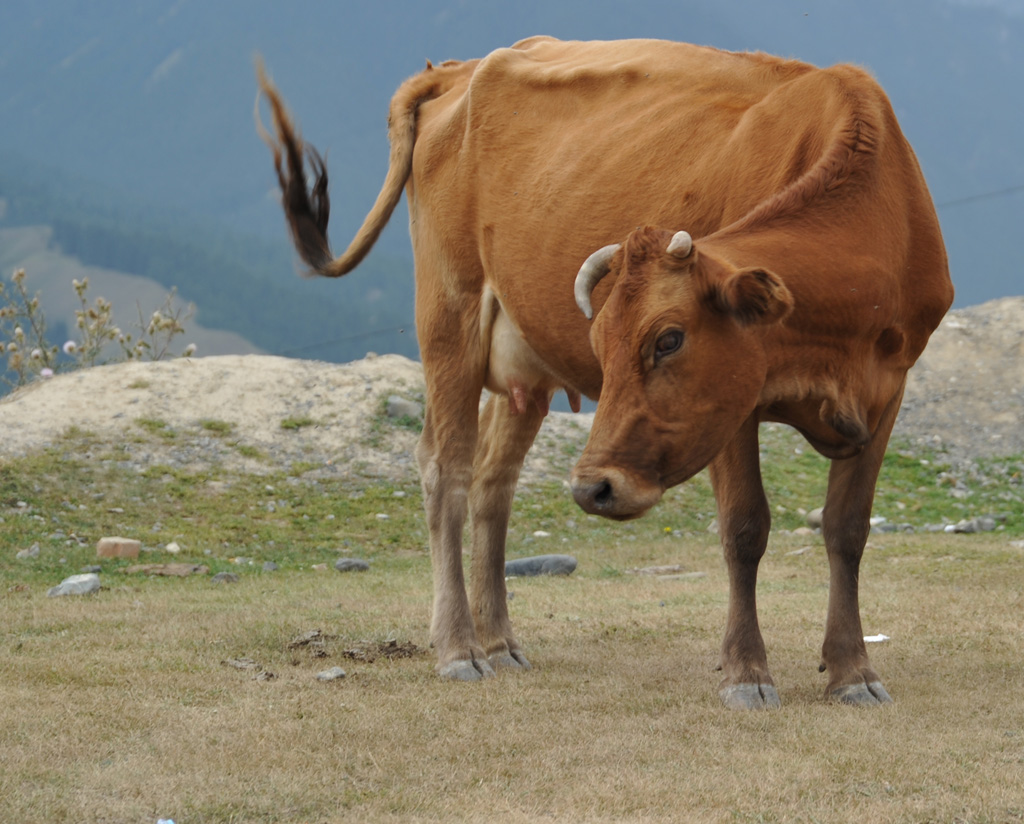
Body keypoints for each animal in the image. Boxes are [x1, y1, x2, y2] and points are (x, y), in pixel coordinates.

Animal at [253, 36, 950, 708]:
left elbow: (847, 530)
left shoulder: (887, 390)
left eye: (669, 340)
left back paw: (499, 640)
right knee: (445, 469)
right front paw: (746, 672)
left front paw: (852, 671)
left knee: (493, 482)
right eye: (603, 343)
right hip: (450, 315)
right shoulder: (734, 408)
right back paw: (459, 648)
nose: (594, 489)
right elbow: (745, 527)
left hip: (523, 367)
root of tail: (458, 68)